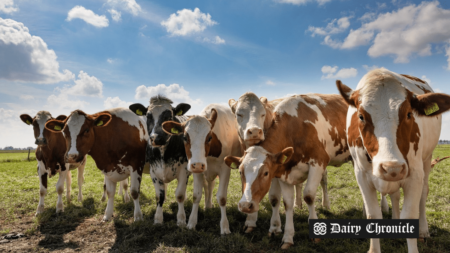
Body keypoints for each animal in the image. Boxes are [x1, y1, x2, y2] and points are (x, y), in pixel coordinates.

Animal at [127, 96, 191, 226]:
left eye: (170, 116)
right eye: (148, 116)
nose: (157, 137)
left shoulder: (184, 171)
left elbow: (180, 195)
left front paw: (181, 219)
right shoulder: (155, 172)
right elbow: (159, 196)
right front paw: (158, 218)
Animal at [162, 104, 243, 234]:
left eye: (209, 137)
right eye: (185, 137)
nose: (199, 165)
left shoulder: (225, 170)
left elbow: (222, 197)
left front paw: (225, 227)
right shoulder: (196, 171)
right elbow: (196, 195)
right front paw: (191, 222)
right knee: (208, 186)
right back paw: (207, 205)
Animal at [223, 94, 350, 248]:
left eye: (266, 173)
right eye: (240, 172)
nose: (245, 205)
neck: (295, 128)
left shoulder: (318, 162)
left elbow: (309, 196)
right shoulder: (284, 171)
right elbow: (286, 202)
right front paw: (287, 237)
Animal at [336, 67, 450, 253]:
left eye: (409, 114)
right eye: (361, 116)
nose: (391, 167)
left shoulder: (414, 175)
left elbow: (410, 214)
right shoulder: (361, 175)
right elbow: (374, 214)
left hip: (427, 159)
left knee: (423, 193)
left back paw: (423, 230)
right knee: (395, 195)